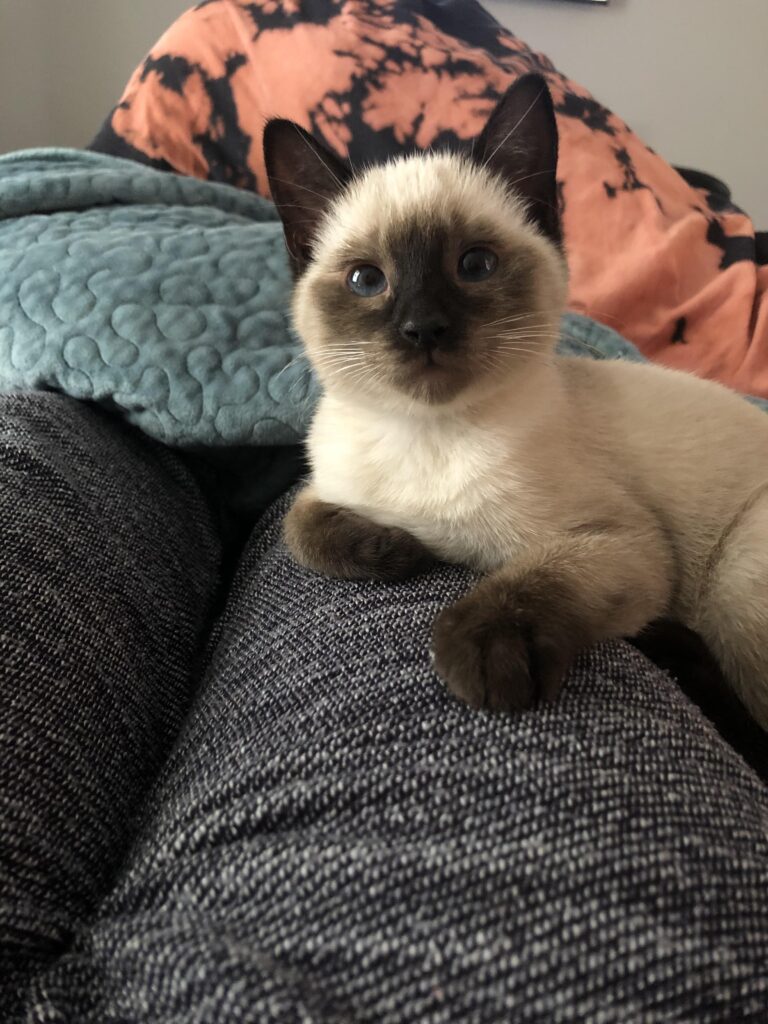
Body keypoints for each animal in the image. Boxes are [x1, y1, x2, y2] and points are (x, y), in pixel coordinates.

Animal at [264, 75, 768, 733]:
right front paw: (395, 551)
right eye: (367, 281)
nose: (423, 329)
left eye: (475, 265)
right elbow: (299, 526)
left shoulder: (622, 542)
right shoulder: (323, 485)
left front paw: (480, 657)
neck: (429, 433)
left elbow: (534, 585)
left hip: (738, 578)